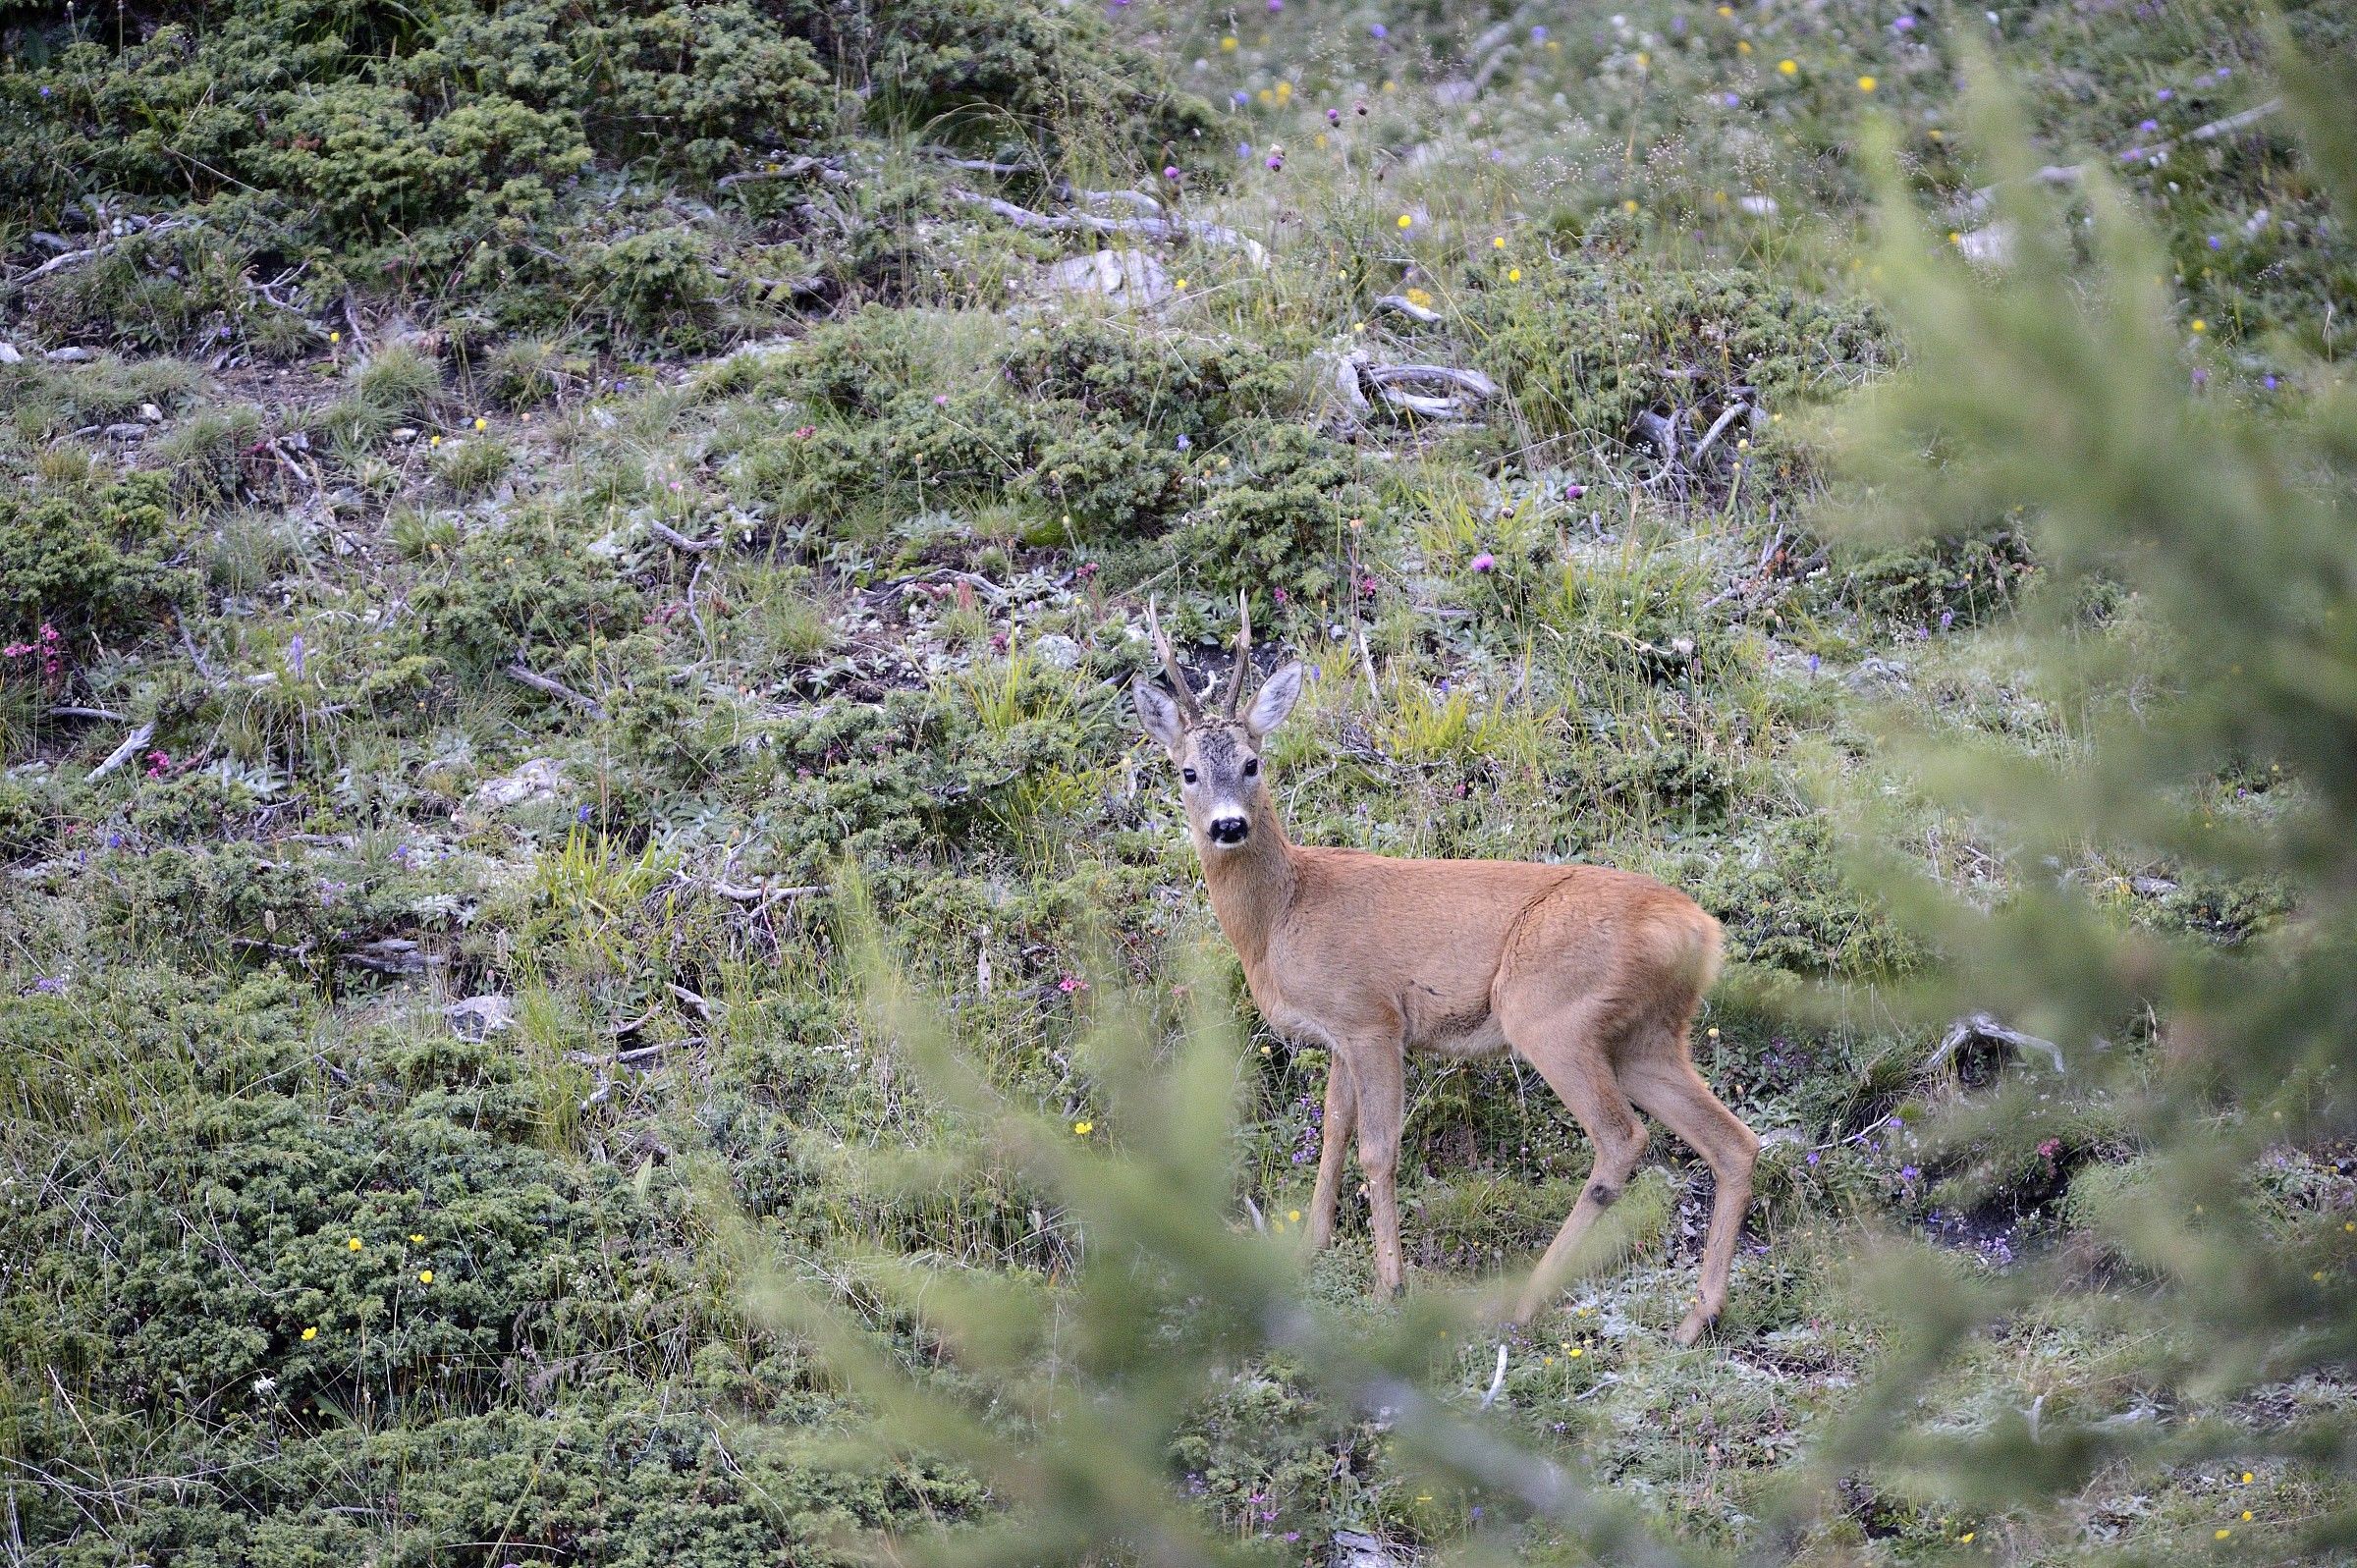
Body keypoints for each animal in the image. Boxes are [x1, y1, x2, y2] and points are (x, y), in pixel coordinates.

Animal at [1131, 598, 1760, 1345]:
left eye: (1254, 762)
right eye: (1188, 771)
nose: (1228, 826)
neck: (1284, 913)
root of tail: (1699, 928)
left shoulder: (1372, 1017)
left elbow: (1377, 1150)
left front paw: (1390, 1285)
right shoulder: (1339, 1034)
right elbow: (1334, 1132)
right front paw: (1309, 1246)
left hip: (1551, 1013)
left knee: (1621, 1140)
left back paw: (1523, 1303)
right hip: (1649, 1037)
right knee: (1735, 1142)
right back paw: (1698, 1317)